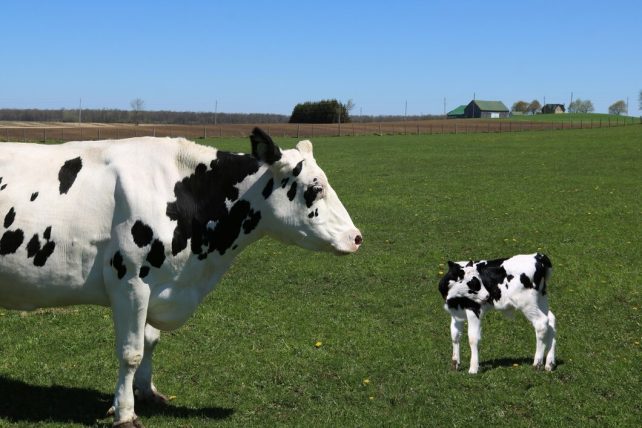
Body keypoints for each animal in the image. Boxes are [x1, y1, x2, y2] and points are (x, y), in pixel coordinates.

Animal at [0, 128, 362, 427]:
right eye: (315, 188)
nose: (356, 238)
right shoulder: (130, 282)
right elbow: (130, 352)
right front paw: (125, 413)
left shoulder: (156, 286)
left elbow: (150, 342)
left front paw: (146, 392)